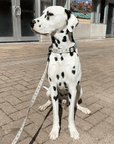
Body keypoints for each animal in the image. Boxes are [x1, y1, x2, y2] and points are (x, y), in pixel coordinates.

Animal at [30, 5, 91, 141]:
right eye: (42, 13)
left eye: (50, 14)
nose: (31, 22)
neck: (62, 51)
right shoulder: (53, 87)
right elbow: (55, 115)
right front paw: (54, 131)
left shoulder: (73, 88)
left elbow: (71, 115)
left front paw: (73, 131)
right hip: (49, 91)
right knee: (51, 102)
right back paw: (45, 105)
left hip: (80, 89)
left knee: (75, 105)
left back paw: (83, 109)